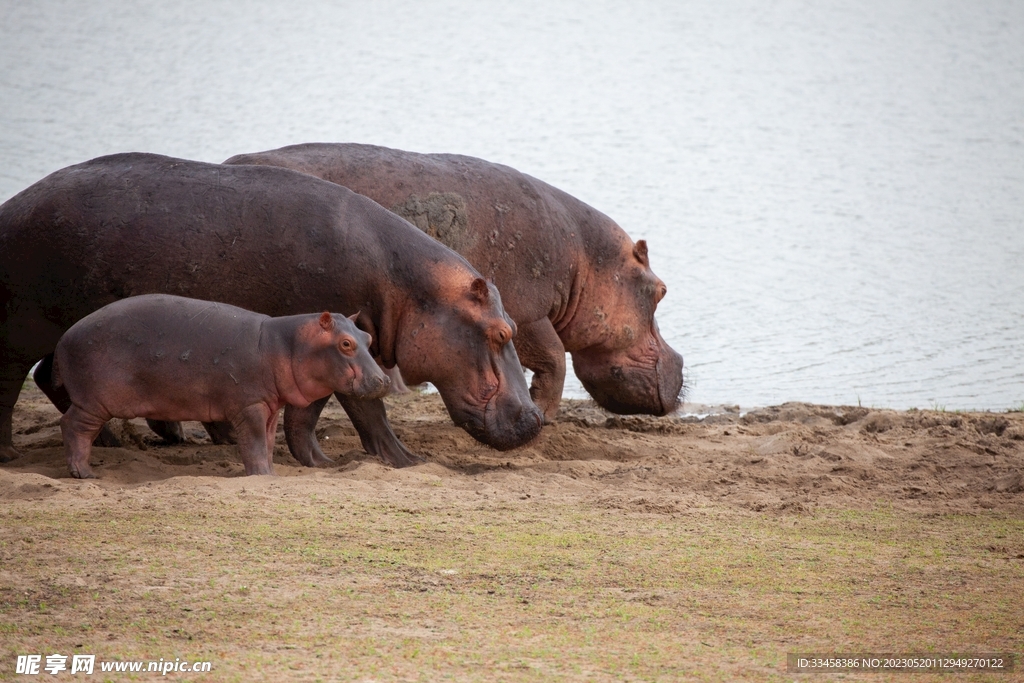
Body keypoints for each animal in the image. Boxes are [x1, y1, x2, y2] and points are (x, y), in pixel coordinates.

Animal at [52, 294, 387, 481]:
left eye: (368, 338)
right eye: (346, 343)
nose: (384, 380)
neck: (288, 344)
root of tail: (64, 337)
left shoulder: (269, 405)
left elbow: (267, 442)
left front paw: (271, 475)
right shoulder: (250, 405)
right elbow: (254, 442)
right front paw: (260, 475)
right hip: (94, 401)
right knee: (73, 426)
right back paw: (84, 473)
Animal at [225, 143, 688, 421]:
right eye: (661, 290)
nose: (682, 362)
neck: (587, 260)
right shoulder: (527, 313)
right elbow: (555, 359)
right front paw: (544, 415)